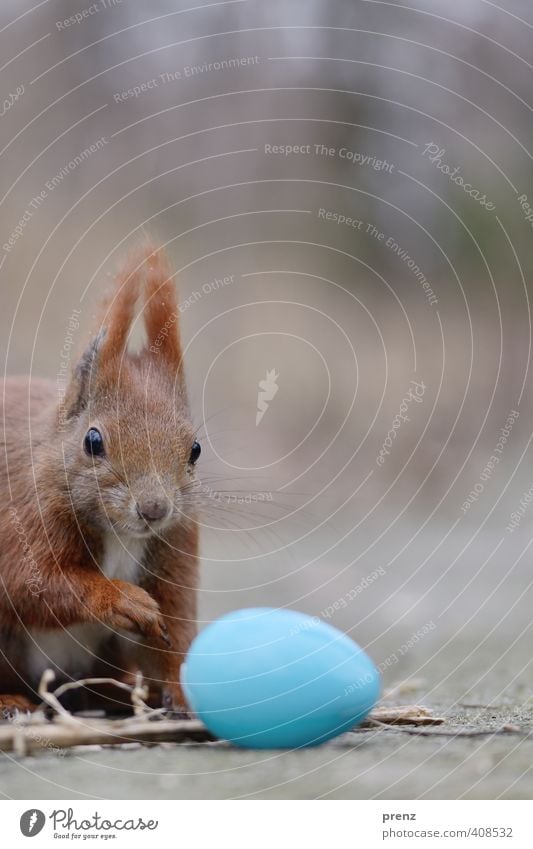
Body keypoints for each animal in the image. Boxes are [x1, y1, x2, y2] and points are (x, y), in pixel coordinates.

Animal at [0, 243, 198, 716]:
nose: (154, 509)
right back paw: (10, 701)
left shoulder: (176, 546)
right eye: (93, 441)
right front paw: (120, 599)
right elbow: (29, 583)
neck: (119, 533)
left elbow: (174, 634)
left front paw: (183, 693)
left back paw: (125, 695)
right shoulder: (21, 517)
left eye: (196, 450)